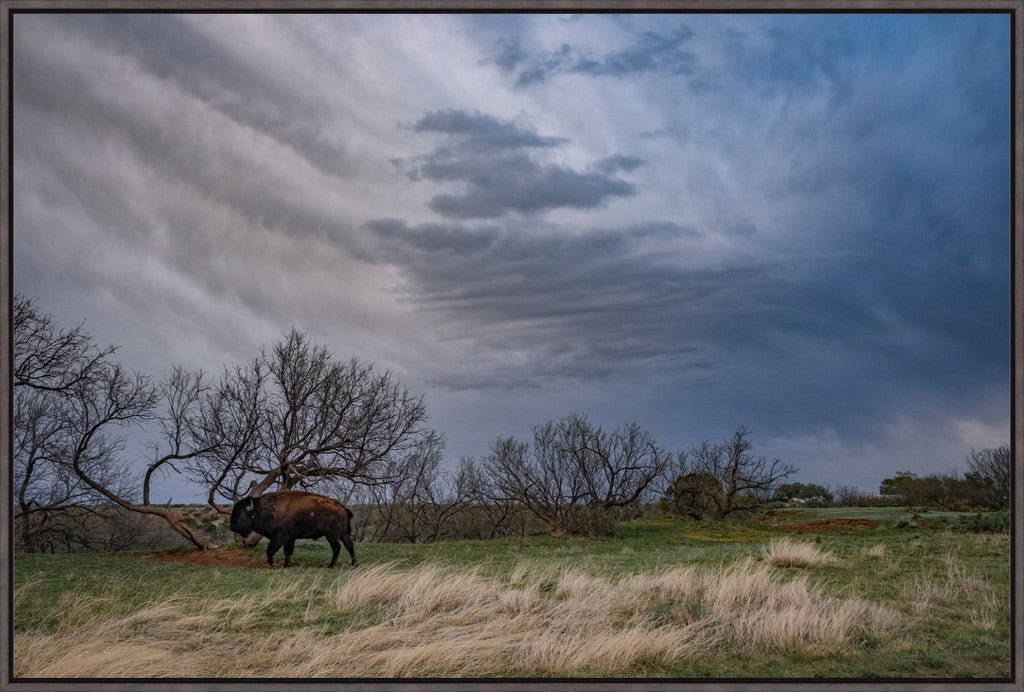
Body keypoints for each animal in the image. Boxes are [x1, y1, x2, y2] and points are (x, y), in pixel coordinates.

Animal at [230, 487, 358, 569]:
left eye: (242, 515)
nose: (232, 527)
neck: (267, 509)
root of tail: (343, 508)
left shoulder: (279, 537)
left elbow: (270, 550)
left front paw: (273, 564)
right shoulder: (290, 538)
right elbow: (288, 552)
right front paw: (287, 565)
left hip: (331, 535)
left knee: (337, 547)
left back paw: (330, 565)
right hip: (343, 533)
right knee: (349, 545)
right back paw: (354, 564)